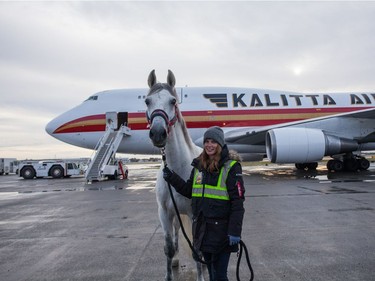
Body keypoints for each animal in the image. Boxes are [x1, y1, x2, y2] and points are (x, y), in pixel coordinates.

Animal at [145, 68, 204, 280]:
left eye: (173, 101)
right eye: (147, 101)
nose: (158, 133)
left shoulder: (196, 214)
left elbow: (197, 248)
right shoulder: (164, 214)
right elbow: (168, 248)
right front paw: (169, 273)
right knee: (178, 233)